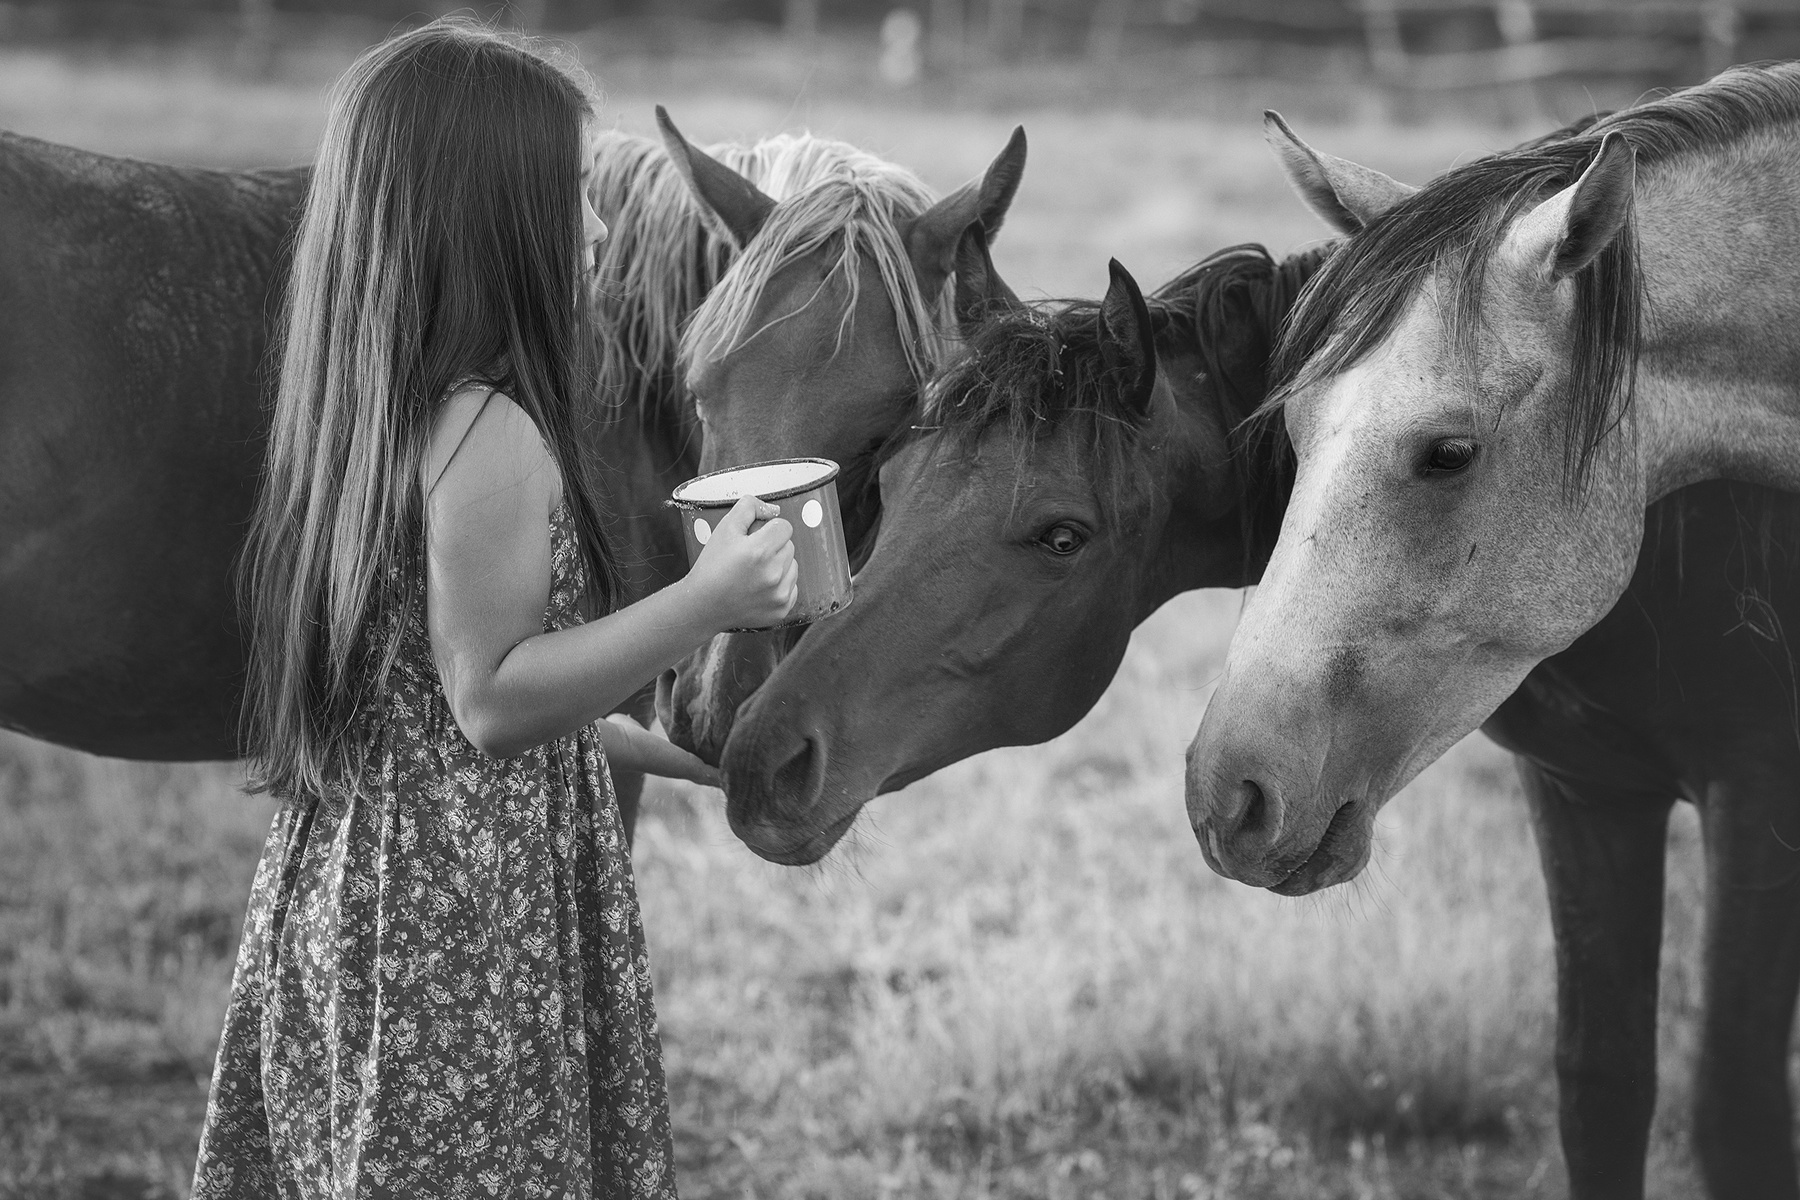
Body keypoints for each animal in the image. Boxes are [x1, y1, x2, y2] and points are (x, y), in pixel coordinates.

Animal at [720, 231, 1800, 1197]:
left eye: (1062, 534)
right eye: (889, 482)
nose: (763, 761)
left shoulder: (1756, 795)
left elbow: (1735, 1116)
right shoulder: (1583, 789)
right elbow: (1602, 1089)